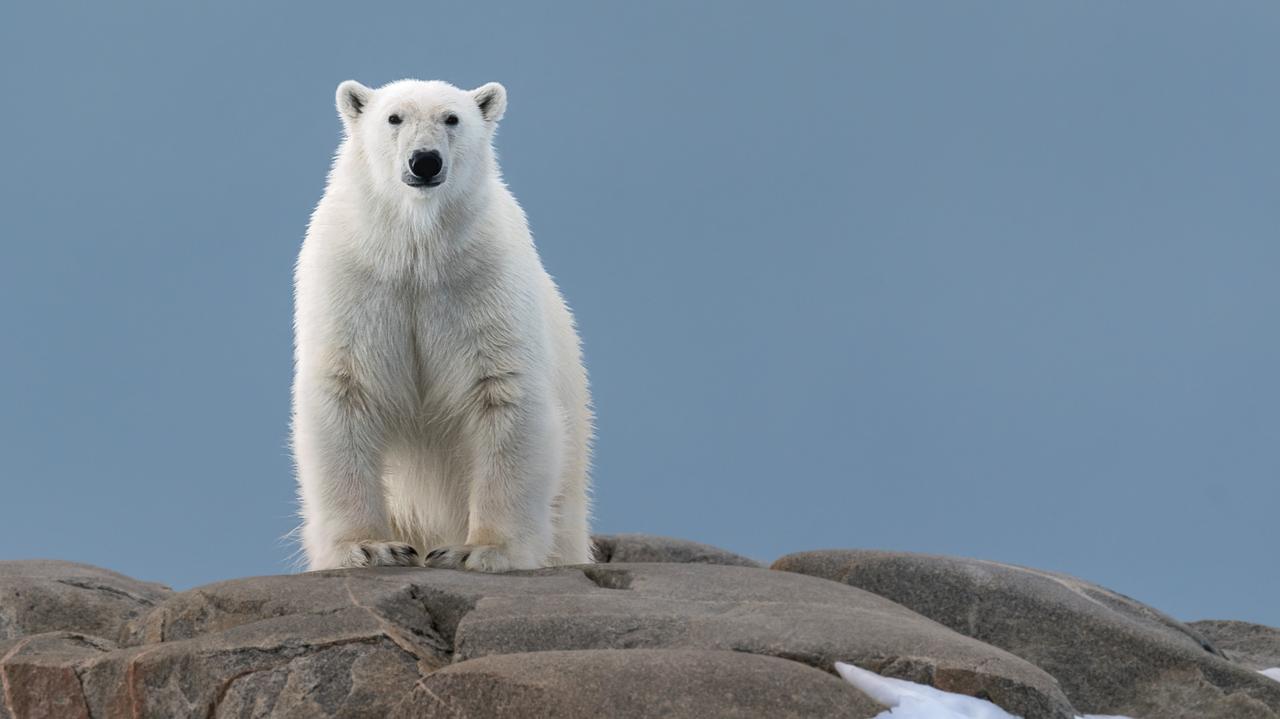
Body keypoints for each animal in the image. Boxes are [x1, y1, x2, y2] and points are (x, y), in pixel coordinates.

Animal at [291, 78, 593, 570]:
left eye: (452, 119)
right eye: (394, 118)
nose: (425, 161)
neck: (417, 248)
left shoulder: (483, 281)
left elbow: (503, 393)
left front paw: (482, 550)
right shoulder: (355, 280)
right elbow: (346, 391)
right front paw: (368, 547)